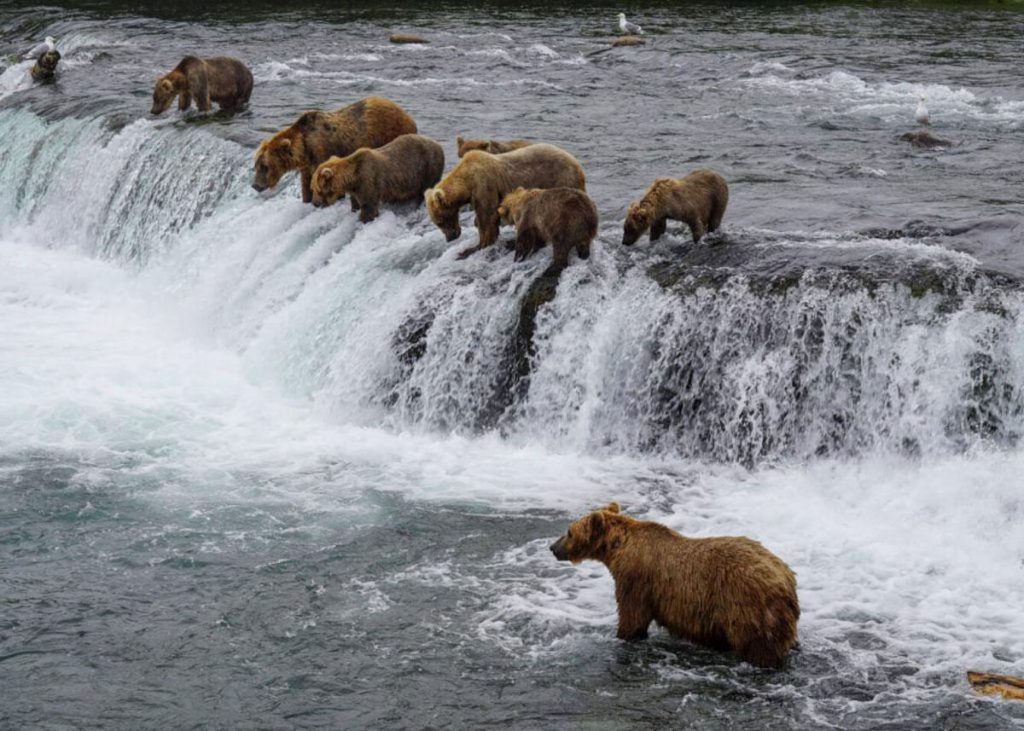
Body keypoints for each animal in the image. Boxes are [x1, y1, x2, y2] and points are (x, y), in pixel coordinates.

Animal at [251, 95, 415, 201]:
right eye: (256, 165)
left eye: (264, 166)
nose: (255, 185)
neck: (304, 149)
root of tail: (407, 115)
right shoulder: (307, 165)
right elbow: (306, 184)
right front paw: (308, 199)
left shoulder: (322, 152)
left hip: (389, 132)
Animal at [307, 132, 444, 221]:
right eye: (312, 188)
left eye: (317, 189)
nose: (315, 203)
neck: (353, 178)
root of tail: (438, 145)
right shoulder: (356, 189)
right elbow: (356, 202)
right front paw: (355, 209)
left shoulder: (369, 180)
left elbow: (369, 206)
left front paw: (364, 218)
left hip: (427, 167)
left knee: (425, 189)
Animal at [421, 142, 585, 259]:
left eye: (440, 221)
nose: (450, 237)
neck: (467, 182)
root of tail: (578, 165)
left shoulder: (484, 185)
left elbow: (488, 218)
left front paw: (471, 248)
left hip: (561, 179)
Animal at [552, 501, 798, 667]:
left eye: (569, 531)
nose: (553, 547)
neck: (618, 548)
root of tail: (785, 578)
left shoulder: (635, 578)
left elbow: (633, 617)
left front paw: (623, 635)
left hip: (747, 607)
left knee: (758, 646)